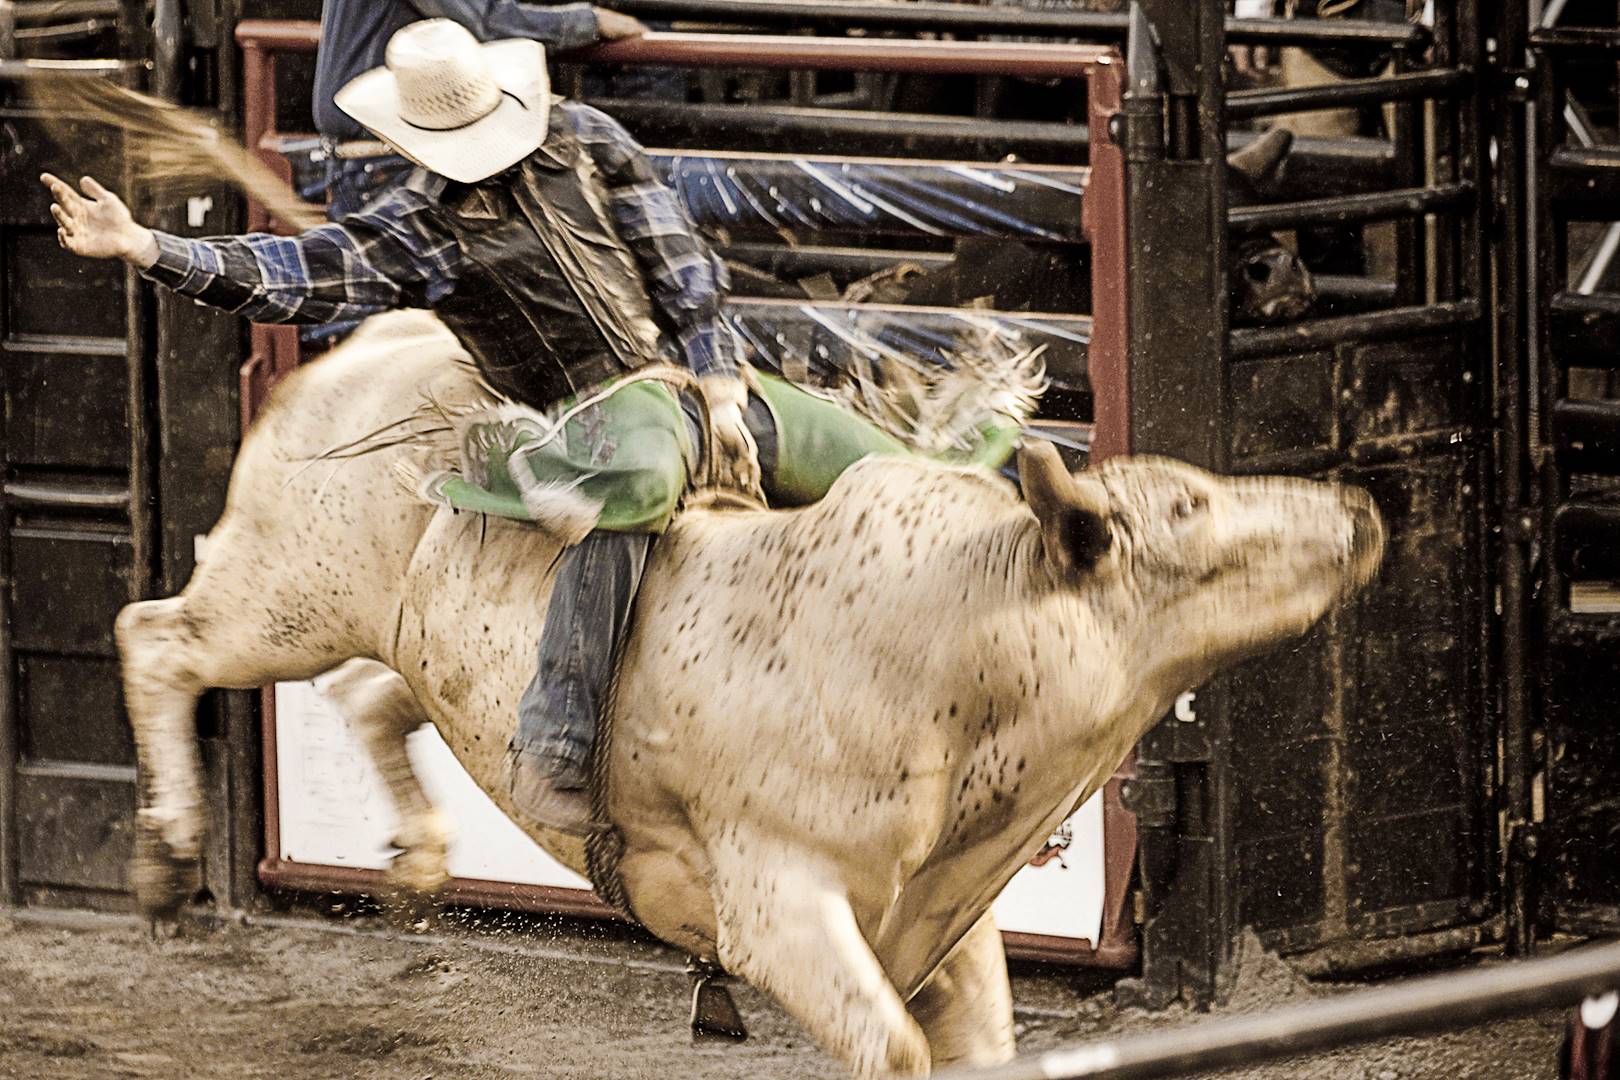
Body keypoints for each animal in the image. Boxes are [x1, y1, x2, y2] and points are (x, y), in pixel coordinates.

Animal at [117, 307, 1380, 1075]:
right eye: (1190, 512)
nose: (1356, 509)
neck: (941, 645)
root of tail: (380, 340)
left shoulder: (954, 918)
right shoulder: (784, 913)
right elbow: (892, 1049)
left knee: (370, 699)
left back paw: (420, 857)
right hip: (281, 592)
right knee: (158, 638)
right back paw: (167, 857)